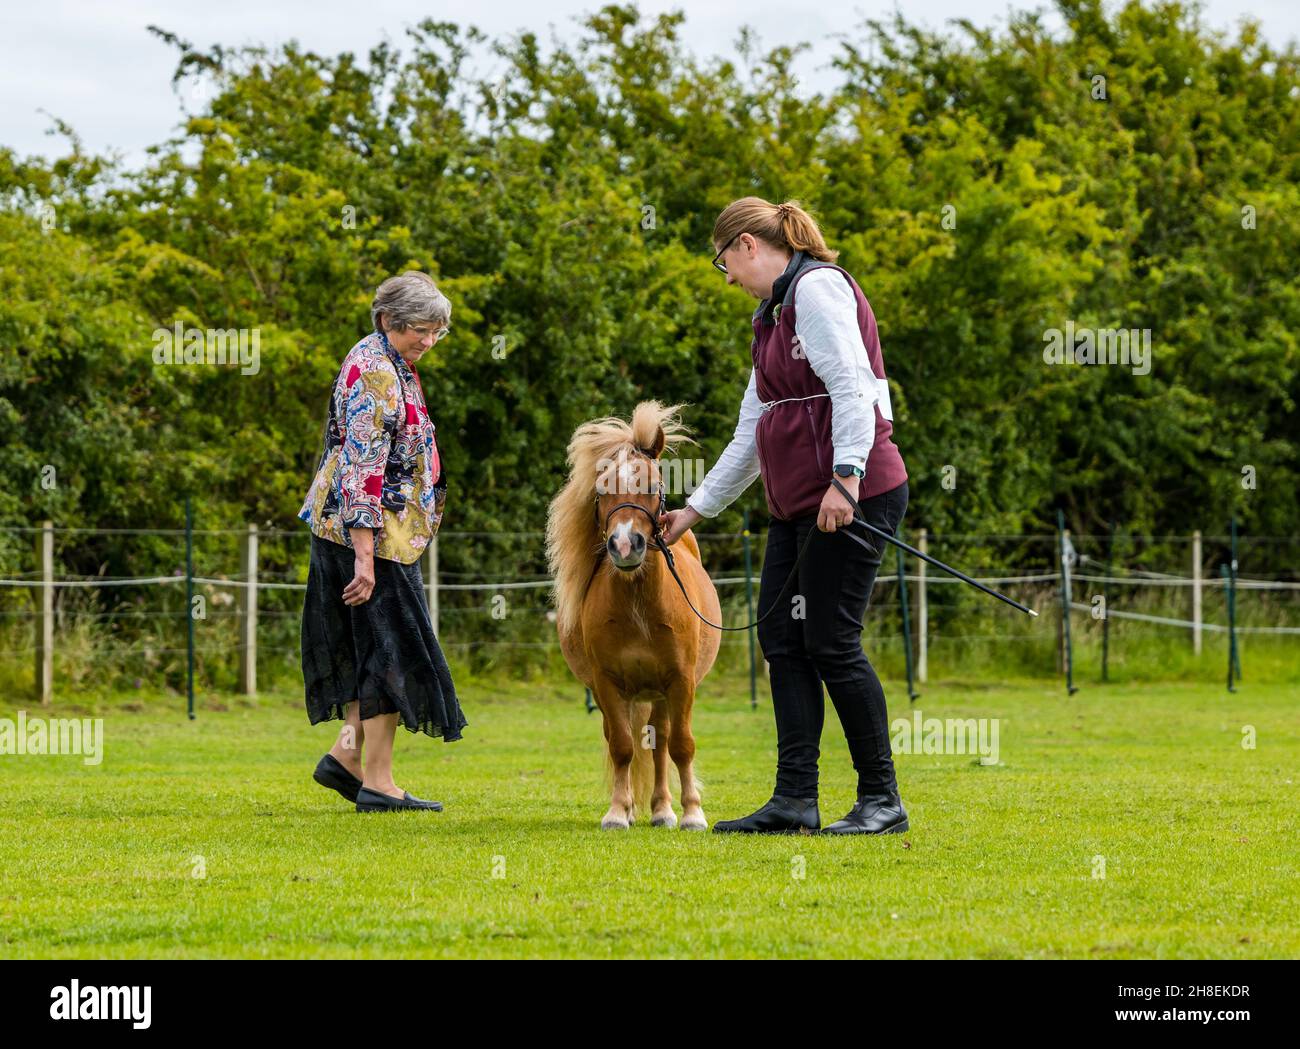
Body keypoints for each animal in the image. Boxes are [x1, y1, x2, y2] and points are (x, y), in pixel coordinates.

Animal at [540, 402, 722, 826]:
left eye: (654, 485)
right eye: (600, 490)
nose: (625, 545)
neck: (638, 606)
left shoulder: (680, 682)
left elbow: (681, 745)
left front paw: (692, 813)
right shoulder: (606, 685)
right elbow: (622, 747)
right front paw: (617, 812)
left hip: (660, 694)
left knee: (661, 741)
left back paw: (664, 810)